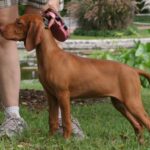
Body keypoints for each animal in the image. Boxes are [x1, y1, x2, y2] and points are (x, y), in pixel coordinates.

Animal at [0, 13, 150, 143]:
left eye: (19, 22)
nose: (1, 29)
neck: (50, 56)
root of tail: (134, 70)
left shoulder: (63, 95)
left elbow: (66, 121)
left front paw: (65, 140)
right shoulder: (51, 96)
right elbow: (52, 120)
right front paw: (50, 139)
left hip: (132, 101)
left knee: (145, 121)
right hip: (119, 103)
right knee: (138, 125)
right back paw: (140, 143)